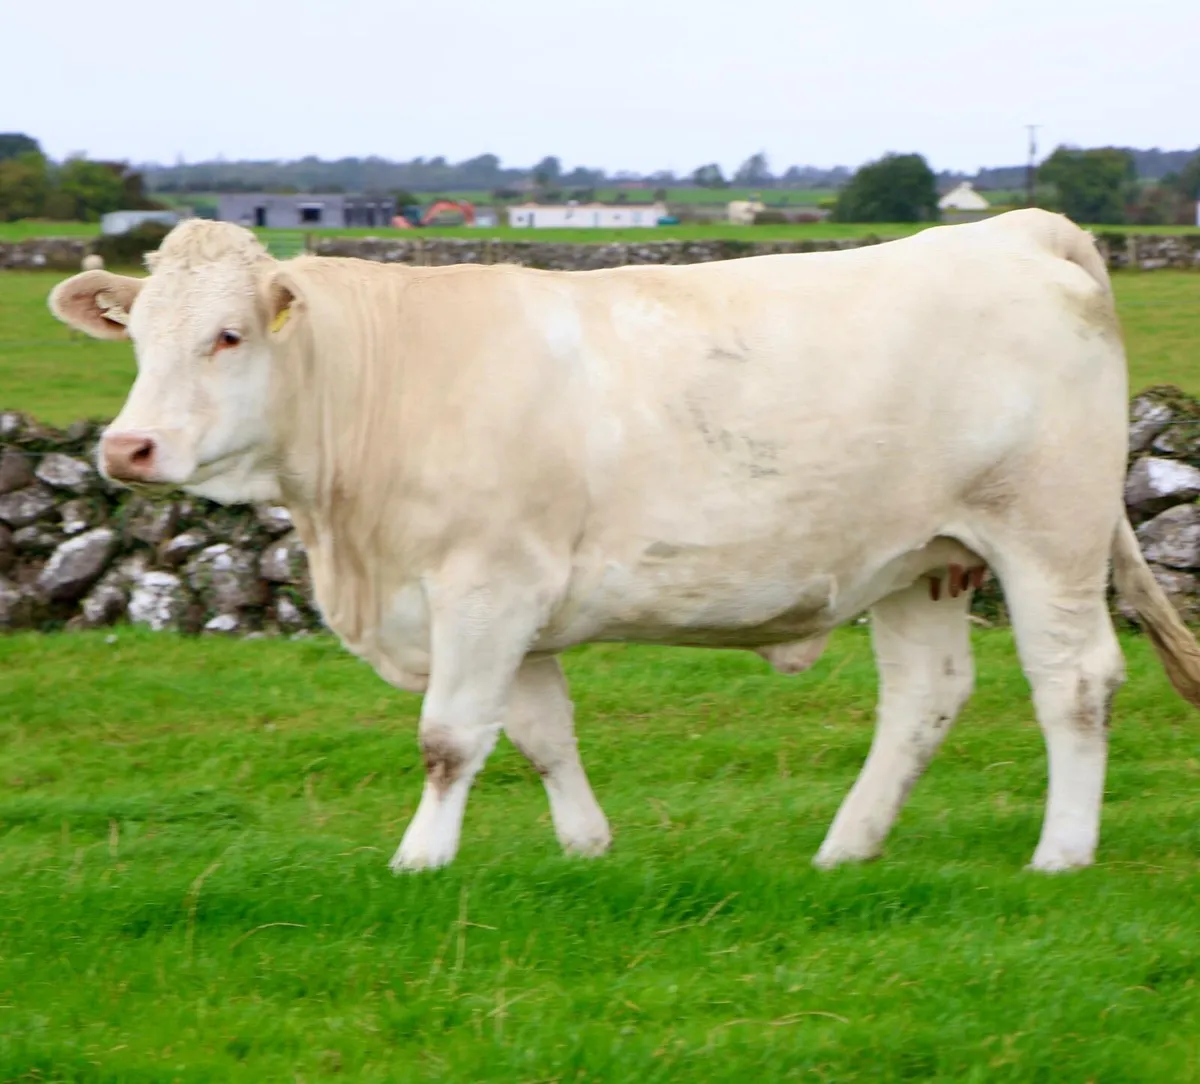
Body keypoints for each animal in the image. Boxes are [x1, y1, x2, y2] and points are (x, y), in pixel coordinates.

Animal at [47, 210, 1200, 875]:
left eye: (228, 334)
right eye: (137, 336)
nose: (127, 446)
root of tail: (1017, 230)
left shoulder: (484, 588)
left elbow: (449, 737)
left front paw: (420, 862)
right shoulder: (514, 605)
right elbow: (539, 736)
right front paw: (585, 849)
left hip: (1046, 534)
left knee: (1074, 681)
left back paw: (1060, 854)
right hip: (920, 559)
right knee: (926, 696)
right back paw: (846, 848)